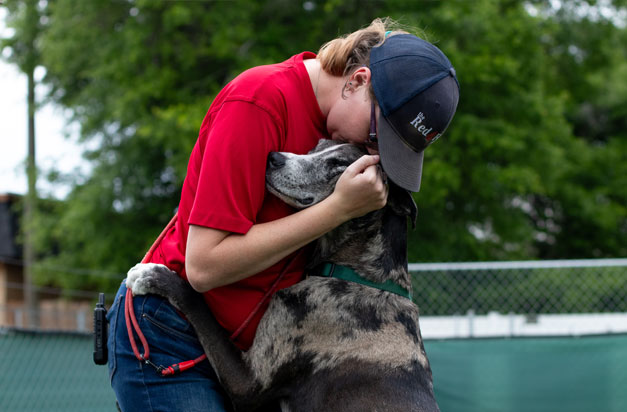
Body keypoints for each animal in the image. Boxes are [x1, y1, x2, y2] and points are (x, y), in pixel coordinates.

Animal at [126, 139, 442, 412]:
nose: (274, 157)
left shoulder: (249, 381)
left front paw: (155, 275)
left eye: (340, 163)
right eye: (317, 145)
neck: (360, 274)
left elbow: (198, 306)